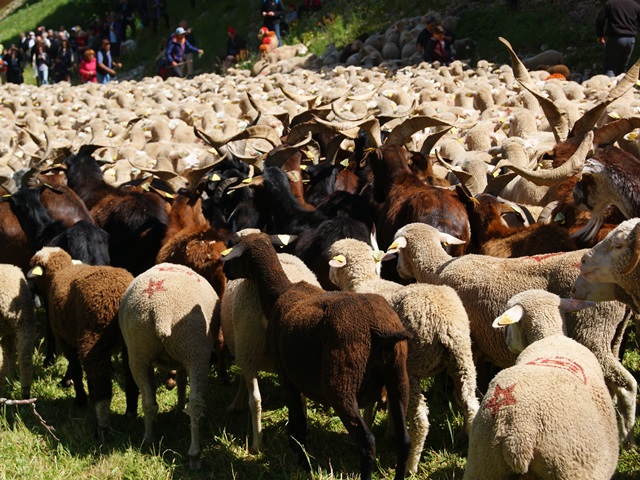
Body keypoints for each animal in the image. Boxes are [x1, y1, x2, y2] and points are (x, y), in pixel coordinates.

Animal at [0, 264, 36, 400]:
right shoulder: (8, 332)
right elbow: (9, 355)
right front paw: (9, 380)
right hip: (24, 319)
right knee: (25, 357)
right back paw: (25, 393)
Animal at [118, 262, 220, 468]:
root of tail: (161, 310)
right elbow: (182, 383)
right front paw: (180, 409)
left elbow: (179, 382)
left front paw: (178, 410)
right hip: (195, 350)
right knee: (195, 404)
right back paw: (195, 455)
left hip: (138, 351)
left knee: (148, 402)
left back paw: (149, 438)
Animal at [328, 238, 478, 474]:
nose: (329, 277)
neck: (365, 282)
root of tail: (444, 324)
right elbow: (391, 402)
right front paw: (390, 432)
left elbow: (371, 401)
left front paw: (372, 424)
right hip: (463, 359)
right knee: (470, 404)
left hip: (414, 365)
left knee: (421, 421)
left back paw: (411, 465)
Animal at [388, 223, 636, 444]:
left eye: (398, 252)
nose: (398, 270)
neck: (436, 270)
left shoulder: (471, 344)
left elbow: (463, 393)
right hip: (612, 334)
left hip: (591, 330)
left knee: (627, 384)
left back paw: (627, 435)